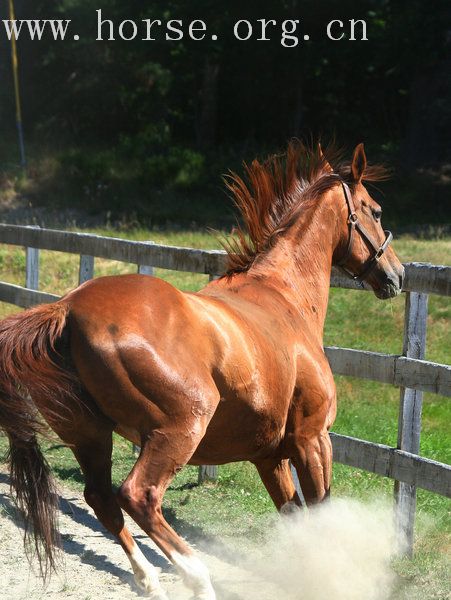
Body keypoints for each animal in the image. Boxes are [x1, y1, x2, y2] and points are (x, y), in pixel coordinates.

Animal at [0, 142, 402, 600]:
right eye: (376, 211)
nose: (397, 274)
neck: (285, 298)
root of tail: (66, 310)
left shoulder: (270, 457)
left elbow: (295, 518)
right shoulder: (312, 440)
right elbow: (321, 515)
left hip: (89, 434)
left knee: (102, 498)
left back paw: (150, 580)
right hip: (178, 429)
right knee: (138, 496)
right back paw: (197, 578)